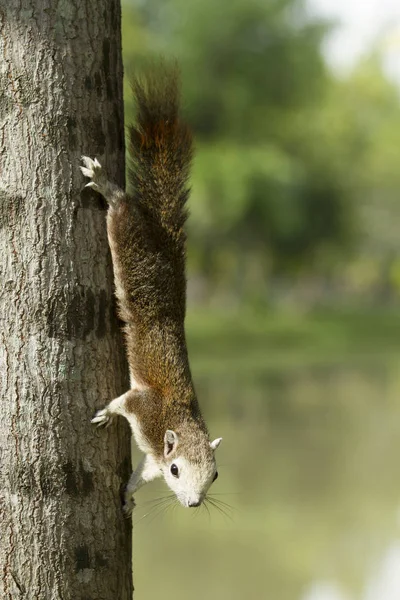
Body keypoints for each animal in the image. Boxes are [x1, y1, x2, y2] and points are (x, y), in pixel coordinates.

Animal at [79, 67, 220, 516]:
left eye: (215, 475)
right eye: (177, 470)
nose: (192, 504)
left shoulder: (152, 459)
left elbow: (139, 476)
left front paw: (126, 497)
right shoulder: (146, 408)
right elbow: (124, 402)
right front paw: (106, 413)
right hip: (130, 239)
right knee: (121, 207)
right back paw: (106, 185)